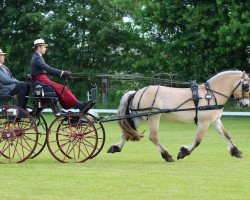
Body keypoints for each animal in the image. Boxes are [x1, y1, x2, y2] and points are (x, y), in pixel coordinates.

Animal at [107, 70, 250, 162]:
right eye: (246, 86)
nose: (245, 104)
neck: (211, 94)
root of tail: (137, 92)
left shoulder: (215, 120)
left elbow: (226, 135)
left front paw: (236, 151)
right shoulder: (204, 122)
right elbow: (197, 141)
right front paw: (183, 152)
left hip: (139, 117)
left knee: (127, 132)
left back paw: (115, 148)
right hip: (153, 117)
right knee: (153, 137)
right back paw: (167, 156)